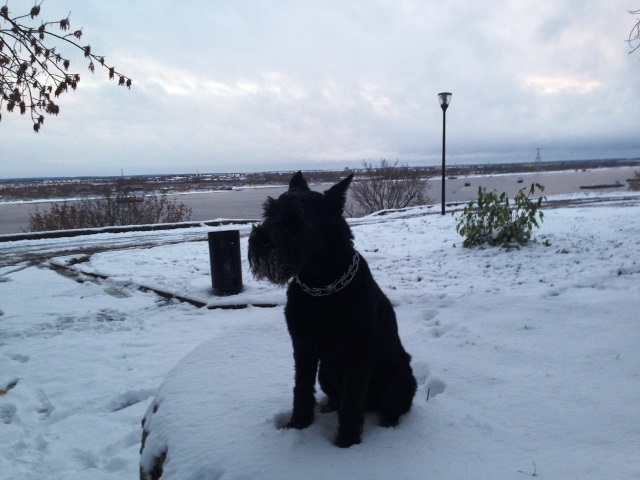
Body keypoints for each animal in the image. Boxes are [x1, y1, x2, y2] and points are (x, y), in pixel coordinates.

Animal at [248, 171, 417, 448]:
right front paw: (298, 424)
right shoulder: (302, 347)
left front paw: (346, 441)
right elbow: (301, 388)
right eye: (268, 212)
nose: (258, 241)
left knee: (391, 407)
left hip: (399, 381)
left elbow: (353, 400)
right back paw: (329, 407)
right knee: (338, 397)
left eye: (296, 219)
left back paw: (388, 425)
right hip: (325, 373)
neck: (321, 286)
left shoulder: (358, 354)